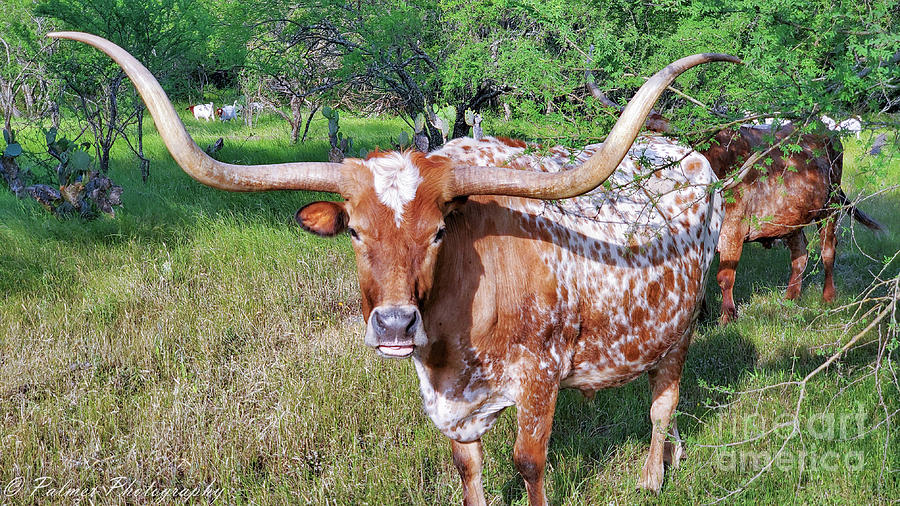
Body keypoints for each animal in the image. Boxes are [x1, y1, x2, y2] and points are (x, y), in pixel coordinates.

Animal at [51, 32, 740, 506]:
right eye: (355, 231)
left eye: (438, 230)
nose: (393, 325)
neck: (452, 337)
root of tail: (689, 156)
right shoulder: (455, 407)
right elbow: (470, 471)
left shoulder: (541, 379)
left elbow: (529, 464)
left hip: (679, 330)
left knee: (661, 404)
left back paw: (651, 477)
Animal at [700, 124, 884, 326]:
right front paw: (701, 316)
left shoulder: (734, 230)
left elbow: (725, 277)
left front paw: (727, 318)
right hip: (792, 219)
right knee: (800, 253)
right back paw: (790, 297)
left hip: (830, 205)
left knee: (827, 249)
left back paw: (828, 297)